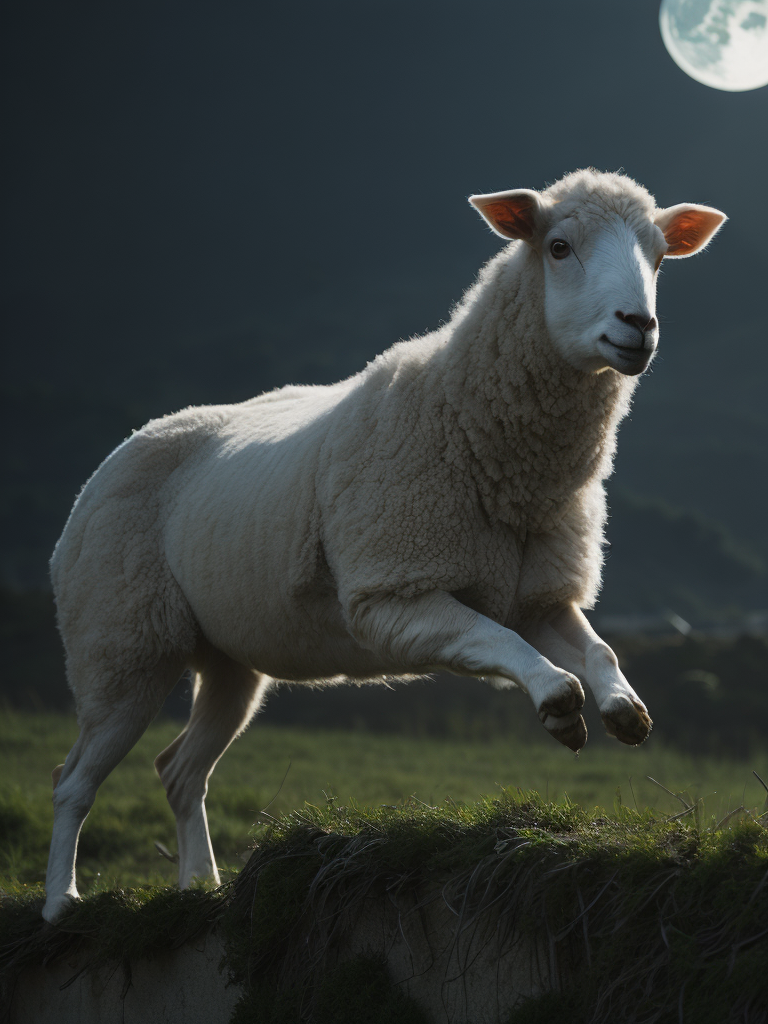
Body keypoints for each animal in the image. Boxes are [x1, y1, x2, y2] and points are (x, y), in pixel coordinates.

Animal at [42, 169, 726, 923]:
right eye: (558, 246)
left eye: (660, 258)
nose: (639, 326)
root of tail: (121, 451)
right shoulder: (390, 593)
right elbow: (496, 640)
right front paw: (557, 701)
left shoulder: (539, 595)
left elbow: (597, 650)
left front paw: (620, 706)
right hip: (119, 641)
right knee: (73, 780)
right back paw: (61, 901)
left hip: (226, 657)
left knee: (180, 771)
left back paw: (202, 885)